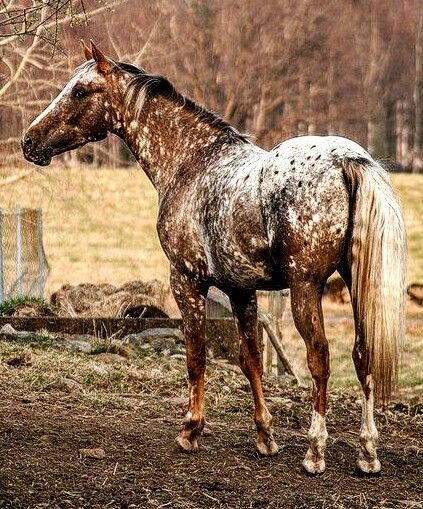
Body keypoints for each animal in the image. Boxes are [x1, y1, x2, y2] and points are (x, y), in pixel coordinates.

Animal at [22, 41, 408, 474]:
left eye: (80, 91)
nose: (29, 141)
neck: (191, 162)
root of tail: (348, 160)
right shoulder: (241, 290)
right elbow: (250, 358)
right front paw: (265, 437)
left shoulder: (186, 282)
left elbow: (196, 355)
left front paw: (190, 430)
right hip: (358, 286)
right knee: (362, 356)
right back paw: (368, 452)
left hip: (305, 288)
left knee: (319, 357)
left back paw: (315, 451)